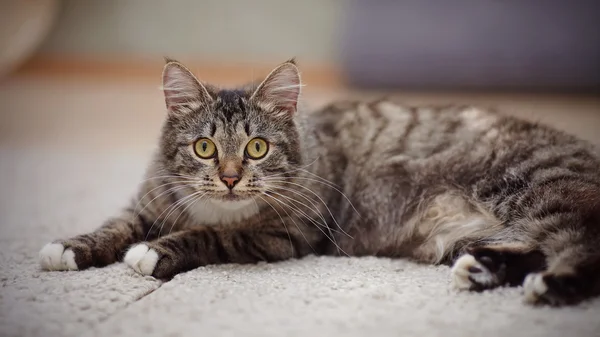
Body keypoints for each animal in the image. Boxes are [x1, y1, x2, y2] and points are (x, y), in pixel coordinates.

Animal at [38, 57, 600, 304]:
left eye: (256, 148)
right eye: (204, 148)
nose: (229, 179)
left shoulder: (282, 235)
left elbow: (210, 234)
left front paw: (155, 253)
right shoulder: (149, 204)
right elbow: (114, 226)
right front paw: (68, 248)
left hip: (535, 190)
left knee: (581, 243)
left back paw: (550, 284)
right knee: (532, 247)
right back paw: (481, 269)